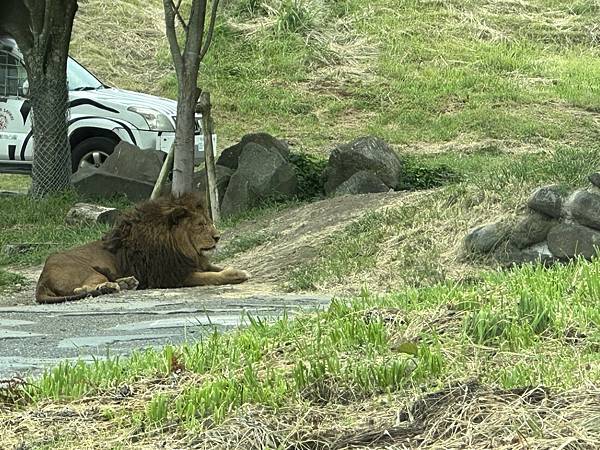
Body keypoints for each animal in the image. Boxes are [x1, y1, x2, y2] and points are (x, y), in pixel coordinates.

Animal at [35, 192, 251, 304]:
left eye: (208, 221)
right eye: (200, 225)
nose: (217, 237)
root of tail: (42, 278)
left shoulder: (190, 264)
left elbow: (217, 268)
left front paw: (240, 270)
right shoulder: (171, 276)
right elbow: (213, 276)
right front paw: (236, 275)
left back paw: (127, 282)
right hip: (87, 270)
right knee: (83, 288)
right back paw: (111, 286)